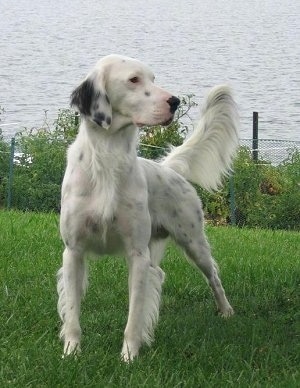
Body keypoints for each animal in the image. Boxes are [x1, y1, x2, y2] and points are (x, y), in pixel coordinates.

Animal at [56, 53, 239, 360]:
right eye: (133, 79)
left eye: (153, 78)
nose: (175, 101)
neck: (107, 159)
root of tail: (170, 169)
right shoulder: (74, 251)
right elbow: (72, 312)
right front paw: (71, 352)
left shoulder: (137, 254)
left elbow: (133, 317)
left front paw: (129, 356)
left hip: (194, 242)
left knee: (213, 276)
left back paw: (226, 310)